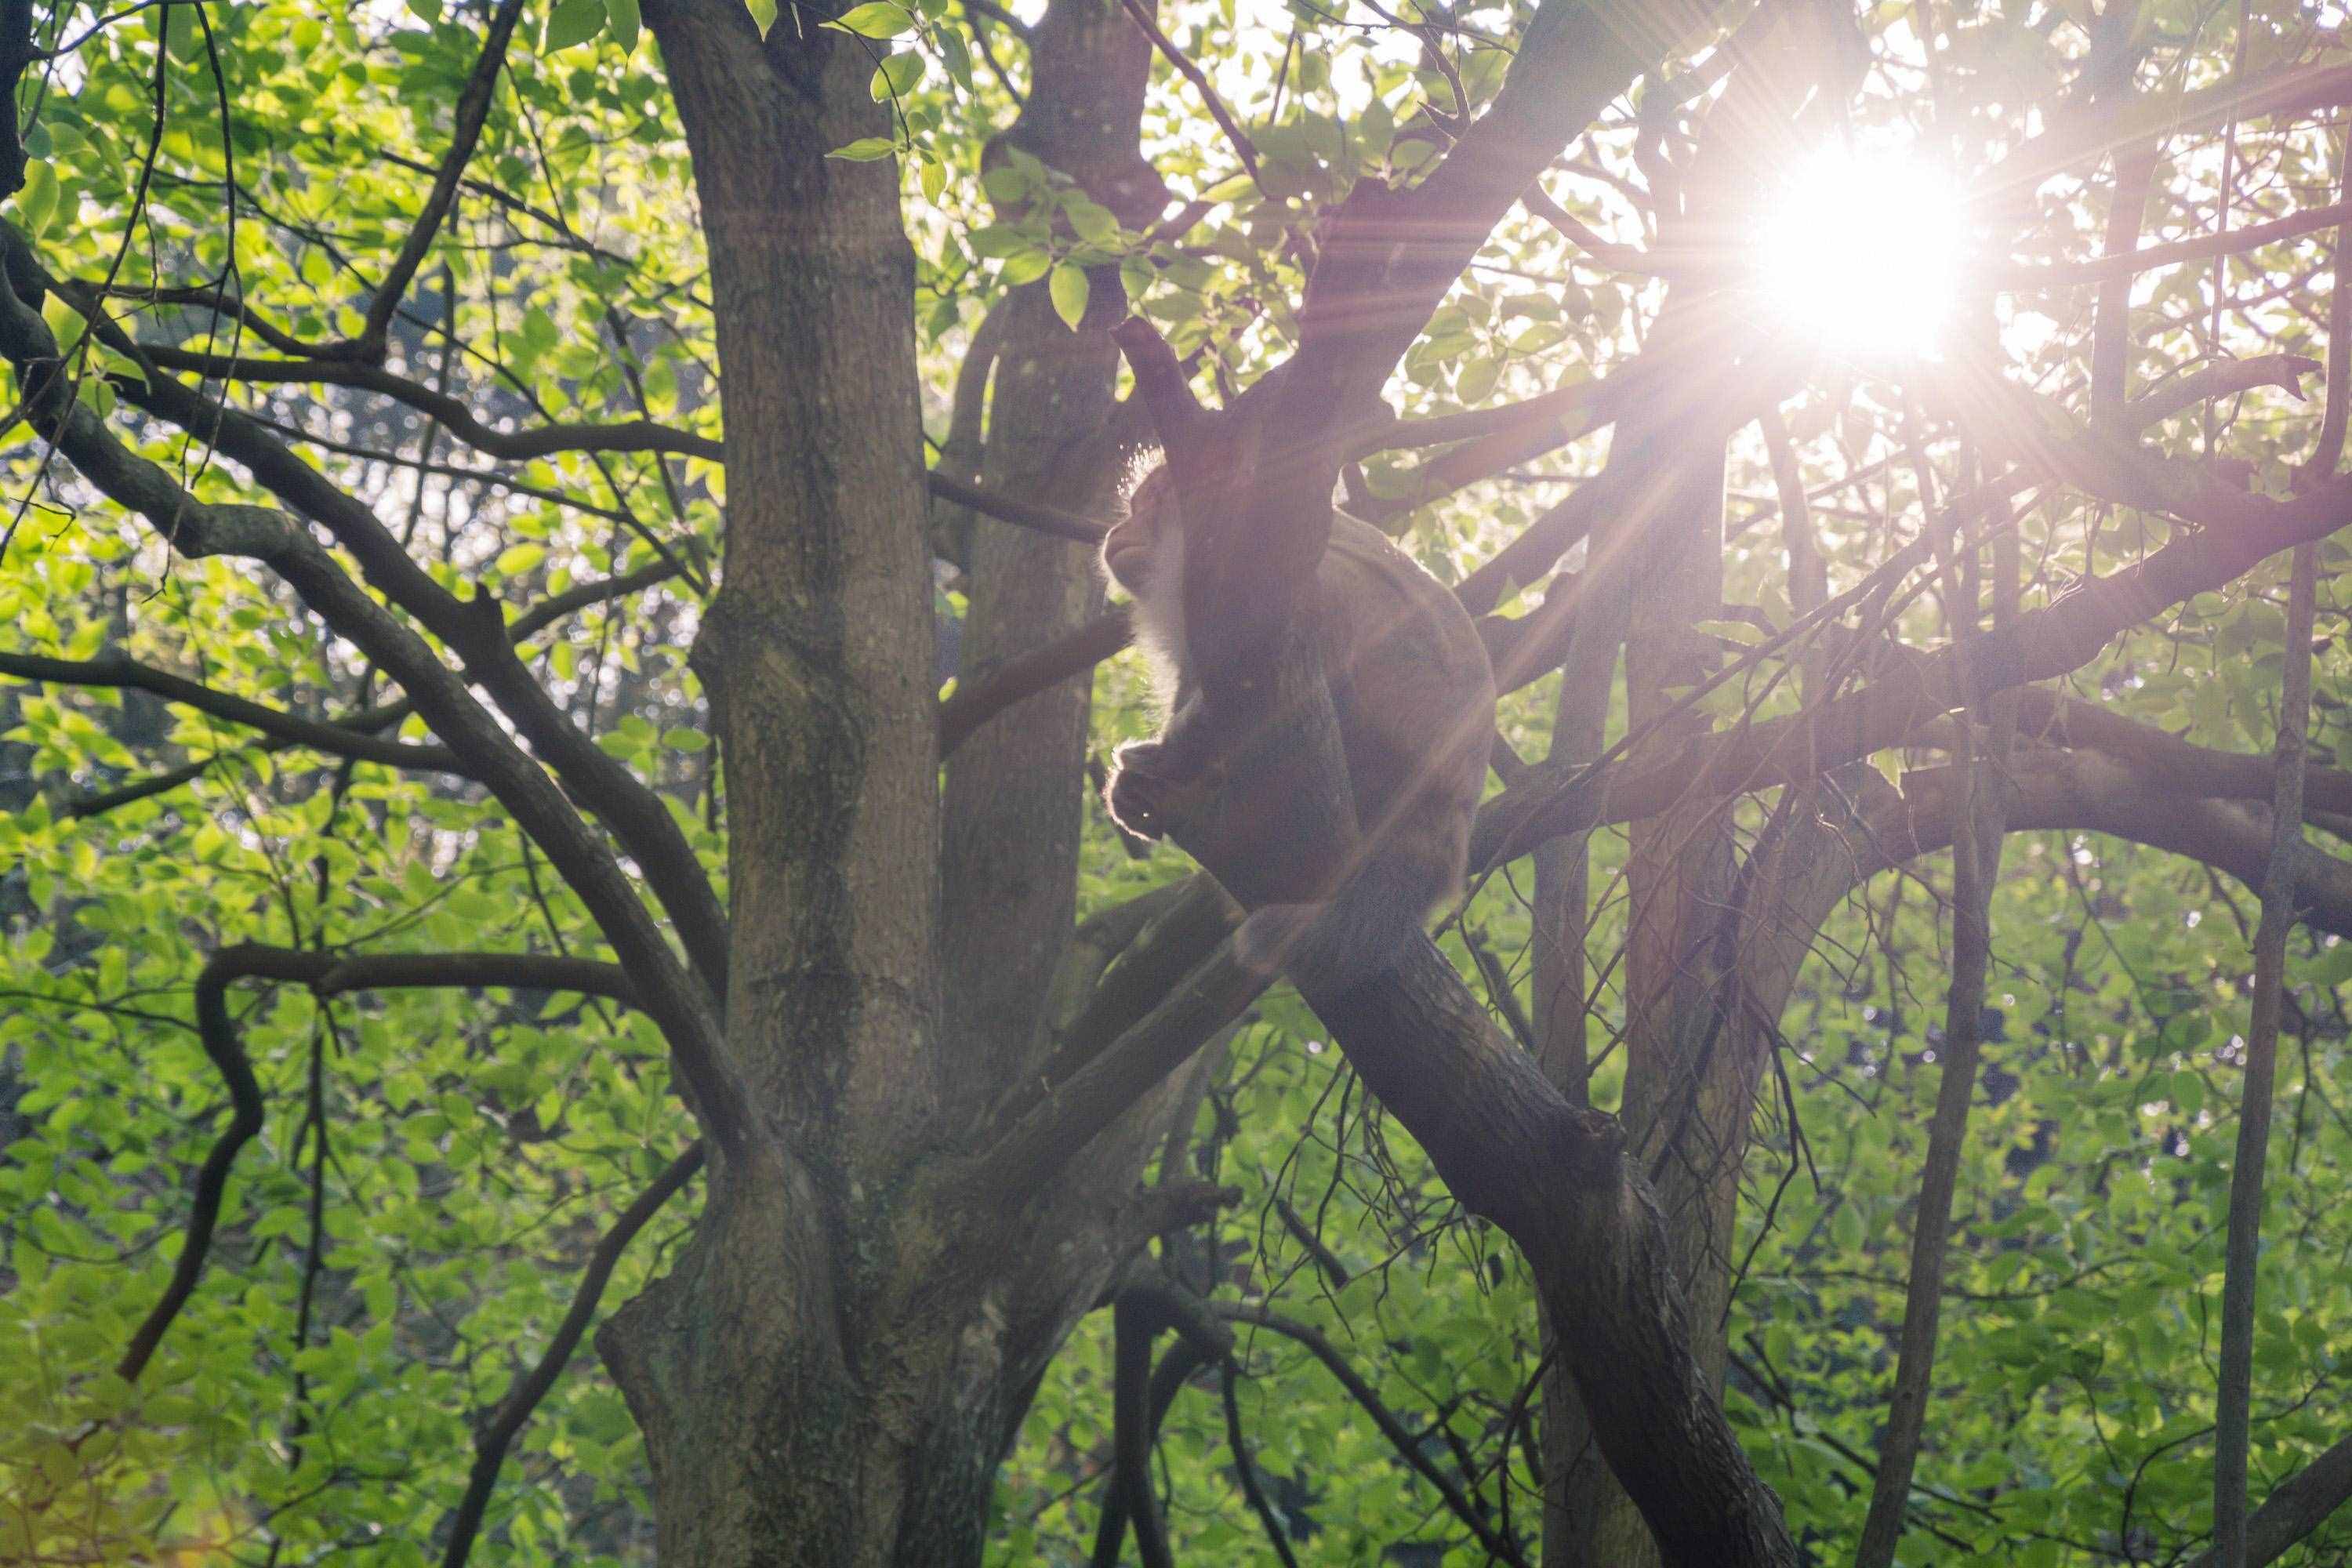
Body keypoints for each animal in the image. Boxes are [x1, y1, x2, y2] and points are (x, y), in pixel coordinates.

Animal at [1096, 460, 1486, 992]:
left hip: (1404, 707)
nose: (1120, 529)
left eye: (1152, 501)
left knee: (1325, 586)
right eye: (1135, 505)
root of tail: (1452, 806)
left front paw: (1175, 754)